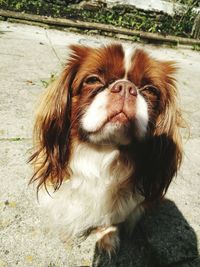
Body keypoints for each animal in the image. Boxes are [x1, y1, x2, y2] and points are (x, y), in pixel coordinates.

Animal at [28, 43, 184, 254]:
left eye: (150, 90)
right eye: (92, 80)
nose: (126, 87)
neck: (103, 152)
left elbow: (111, 219)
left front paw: (107, 236)